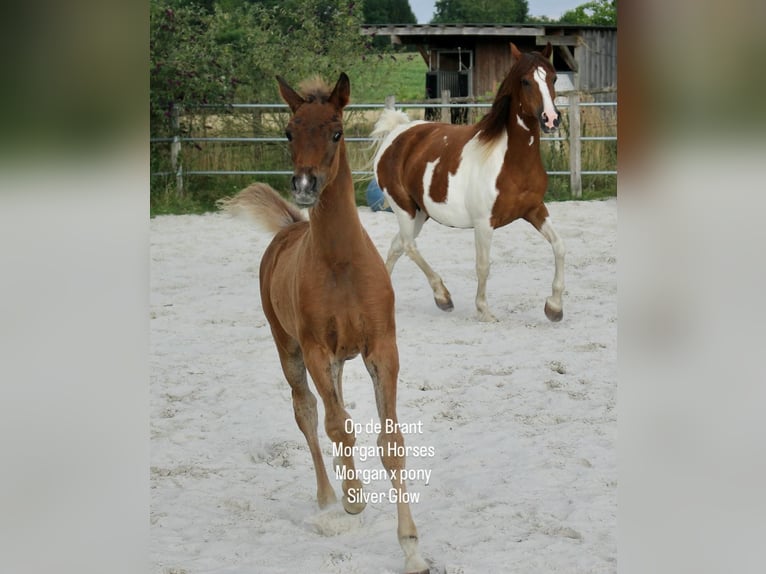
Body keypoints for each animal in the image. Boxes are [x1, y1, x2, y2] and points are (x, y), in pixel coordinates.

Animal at [218, 73, 429, 574]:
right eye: (288, 132)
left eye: (336, 132)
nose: (304, 185)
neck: (340, 264)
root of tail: (289, 227)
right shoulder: (315, 349)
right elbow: (336, 425)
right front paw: (352, 498)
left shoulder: (382, 348)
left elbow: (390, 442)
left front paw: (412, 547)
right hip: (289, 349)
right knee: (309, 413)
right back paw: (329, 496)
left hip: (338, 358)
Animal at [371, 42, 566, 323]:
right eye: (526, 81)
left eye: (553, 78)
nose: (551, 119)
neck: (511, 162)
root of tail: (397, 132)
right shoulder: (484, 223)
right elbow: (483, 265)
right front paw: (484, 310)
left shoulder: (535, 210)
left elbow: (559, 247)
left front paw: (554, 307)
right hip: (404, 208)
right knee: (409, 245)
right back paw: (442, 296)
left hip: (420, 213)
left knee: (397, 246)